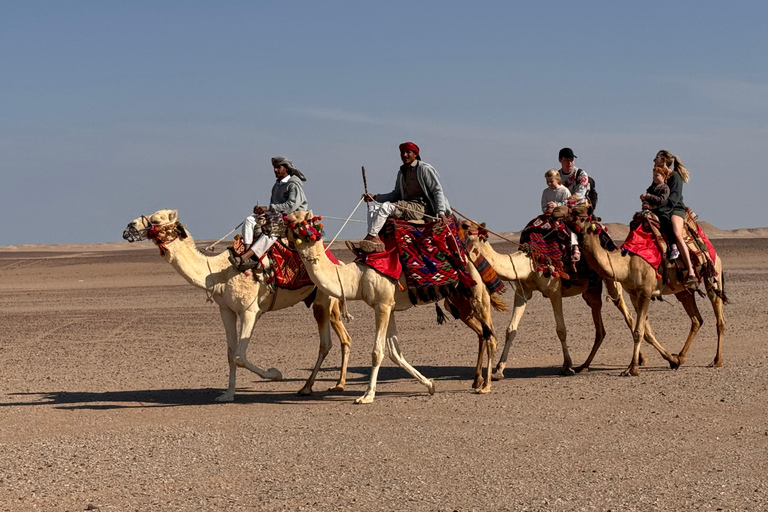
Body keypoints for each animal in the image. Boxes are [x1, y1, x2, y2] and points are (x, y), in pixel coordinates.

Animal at [122, 209, 352, 401]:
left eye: (156, 220)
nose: (128, 228)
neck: (217, 271)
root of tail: (337, 262)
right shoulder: (226, 310)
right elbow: (231, 354)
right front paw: (228, 394)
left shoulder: (250, 311)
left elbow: (240, 356)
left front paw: (274, 373)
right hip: (325, 303)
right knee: (342, 338)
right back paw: (331, 385)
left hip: (322, 300)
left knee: (325, 343)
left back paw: (309, 387)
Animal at [284, 211, 502, 404]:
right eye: (289, 218)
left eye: (298, 219)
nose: (282, 227)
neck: (357, 277)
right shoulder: (389, 306)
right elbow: (395, 353)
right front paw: (430, 385)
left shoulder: (383, 305)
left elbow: (377, 351)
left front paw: (367, 396)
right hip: (459, 300)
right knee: (484, 333)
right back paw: (478, 381)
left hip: (477, 294)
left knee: (491, 336)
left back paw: (486, 385)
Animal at [460, 219, 642, 377]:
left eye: (466, 226)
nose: (456, 226)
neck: (529, 262)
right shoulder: (523, 292)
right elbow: (511, 330)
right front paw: (498, 370)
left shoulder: (555, 291)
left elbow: (561, 330)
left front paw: (567, 366)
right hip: (592, 289)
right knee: (600, 325)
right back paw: (585, 365)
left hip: (611, 277)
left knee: (626, 313)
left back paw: (638, 361)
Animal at [570, 212, 727, 376]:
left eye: (582, 218)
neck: (627, 263)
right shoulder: (633, 294)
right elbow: (643, 330)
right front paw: (666, 361)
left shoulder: (645, 293)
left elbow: (638, 331)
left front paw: (633, 368)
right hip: (683, 291)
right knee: (697, 320)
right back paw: (680, 357)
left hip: (712, 276)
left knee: (719, 318)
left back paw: (716, 360)